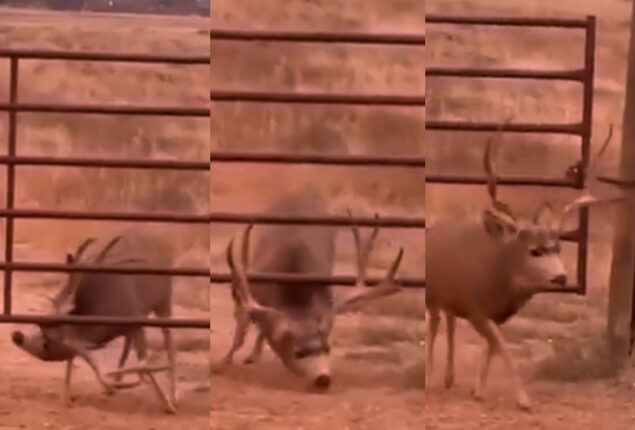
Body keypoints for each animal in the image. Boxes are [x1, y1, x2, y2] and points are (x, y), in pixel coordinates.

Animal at [11, 232, 179, 414]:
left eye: (46, 343)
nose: (17, 336)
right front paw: (66, 397)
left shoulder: (135, 317)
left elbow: (144, 362)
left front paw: (167, 403)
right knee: (130, 344)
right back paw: (117, 381)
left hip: (164, 301)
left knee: (169, 341)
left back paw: (172, 395)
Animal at [211, 186, 404, 392]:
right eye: (298, 353)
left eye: (327, 348)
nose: (323, 379)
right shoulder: (251, 288)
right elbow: (241, 330)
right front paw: (225, 361)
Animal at [424, 122, 628, 412]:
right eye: (535, 250)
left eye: (557, 248)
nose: (561, 277)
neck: (499, 275)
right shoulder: (477, 310)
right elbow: (503, 347)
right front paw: (523, 399)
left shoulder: (497, 313)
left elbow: (491, 348)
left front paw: (479, 390)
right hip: (433, 293)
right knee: (434, 322)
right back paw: (428, 377)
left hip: (450, 296)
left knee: (449, 320)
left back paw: (449, 377)